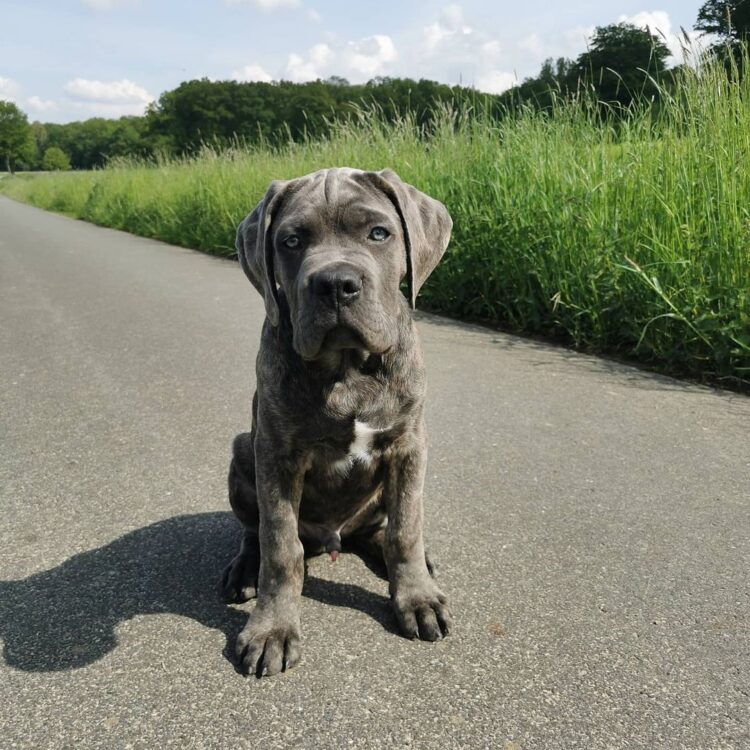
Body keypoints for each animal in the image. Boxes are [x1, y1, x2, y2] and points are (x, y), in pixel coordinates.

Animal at [223, 167, 456, 680]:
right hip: (241, 450)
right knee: (253, 532)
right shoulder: (276, 454)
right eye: (291, 241)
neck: (349, 369)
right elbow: (280, 546)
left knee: (383, 530)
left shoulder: (409, 446)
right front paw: (272, 628)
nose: (334, 283)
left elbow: (407, 528)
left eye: (379, 233)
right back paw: (244, 570)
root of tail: (335, 538)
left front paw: (416, 597)